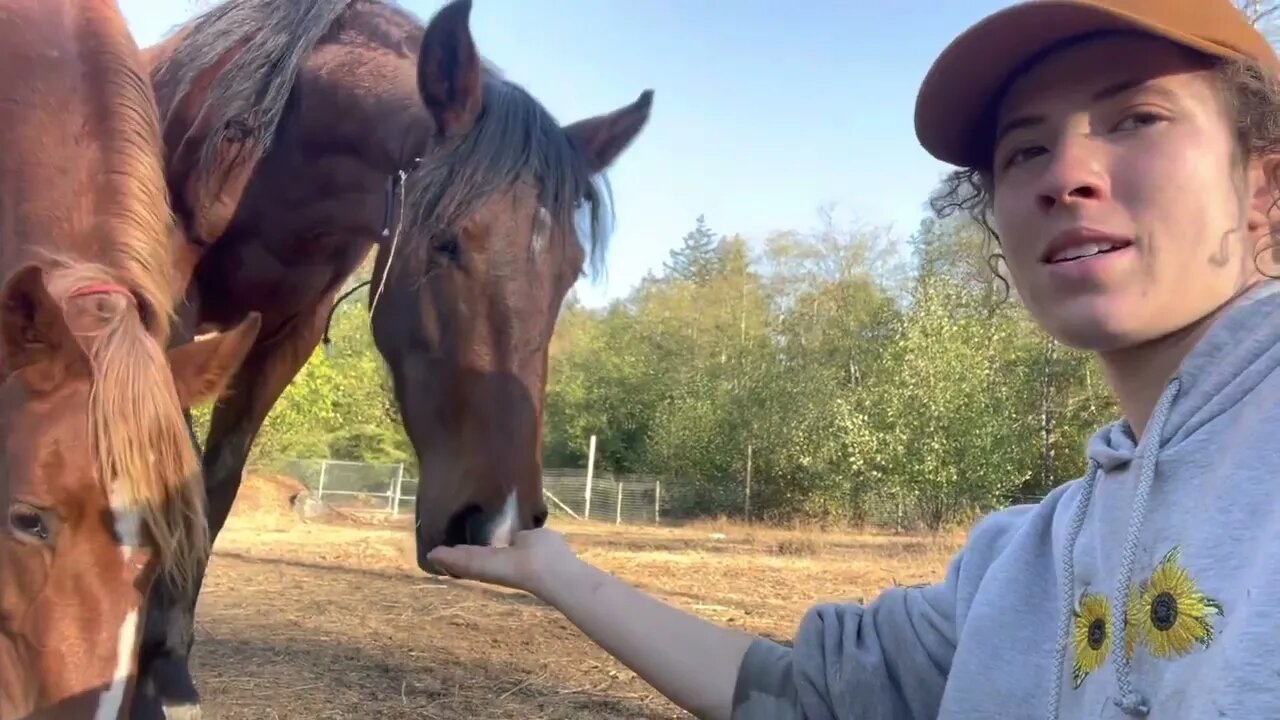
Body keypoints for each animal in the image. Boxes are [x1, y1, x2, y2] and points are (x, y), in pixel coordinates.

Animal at [132, 0, 650, 712]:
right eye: (445, 242)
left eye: (571, 272)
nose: (496, 523)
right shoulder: (169, 315)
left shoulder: (285, 337)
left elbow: (216, 486)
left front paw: (169, 666)